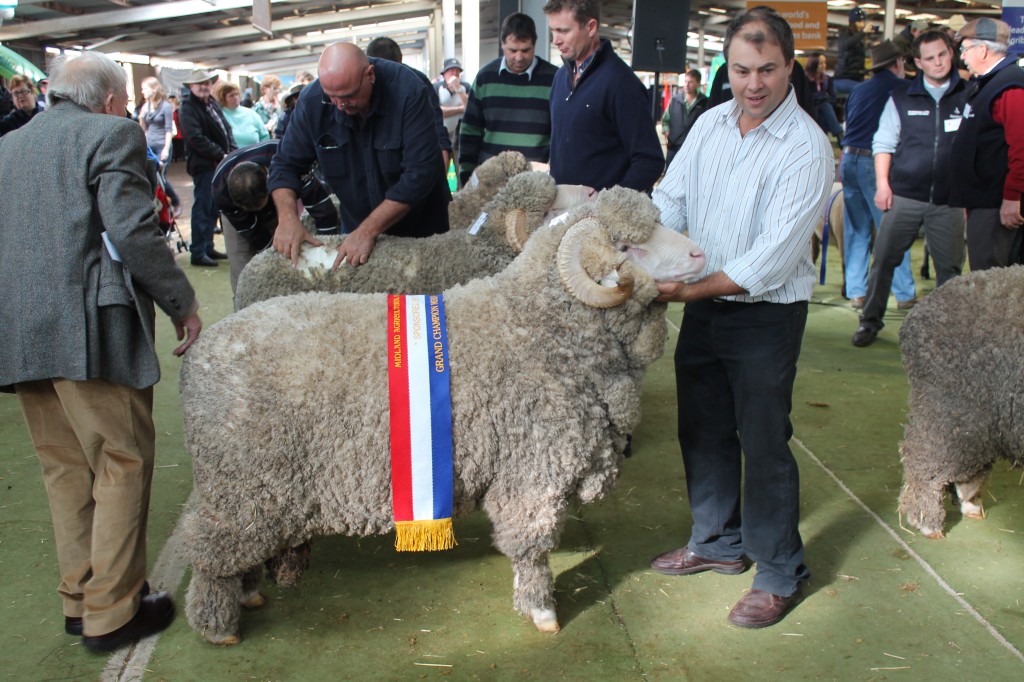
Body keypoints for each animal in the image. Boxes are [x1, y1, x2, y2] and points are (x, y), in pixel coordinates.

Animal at [178, 187, 704, 643]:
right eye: (627, 246)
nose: (700, 256)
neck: (538, 326)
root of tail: (199, 359)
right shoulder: (532, 472)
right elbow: (531, 546)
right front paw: (541, 611)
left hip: (250, 491)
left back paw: (247, 594)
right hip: (241, 485)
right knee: (207, 552)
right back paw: (217, 626)